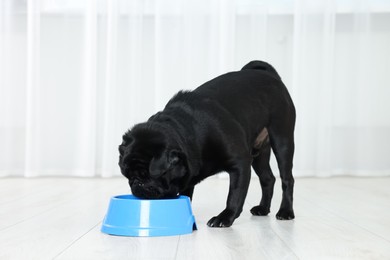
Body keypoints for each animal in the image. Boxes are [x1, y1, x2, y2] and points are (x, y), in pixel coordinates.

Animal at [119, 60, 296, 226]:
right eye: (128, 175)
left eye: (147, 175)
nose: (136, 182)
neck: (190, 132)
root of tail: (270, 76)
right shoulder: (187, 178)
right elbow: (187, 195)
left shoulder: (240, 163)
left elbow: (234, 195)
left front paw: (225, 217)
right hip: (259, 153)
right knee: (268, 179)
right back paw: (263, 209)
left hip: (282, 140)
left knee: (287, 179)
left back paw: (285, 211)